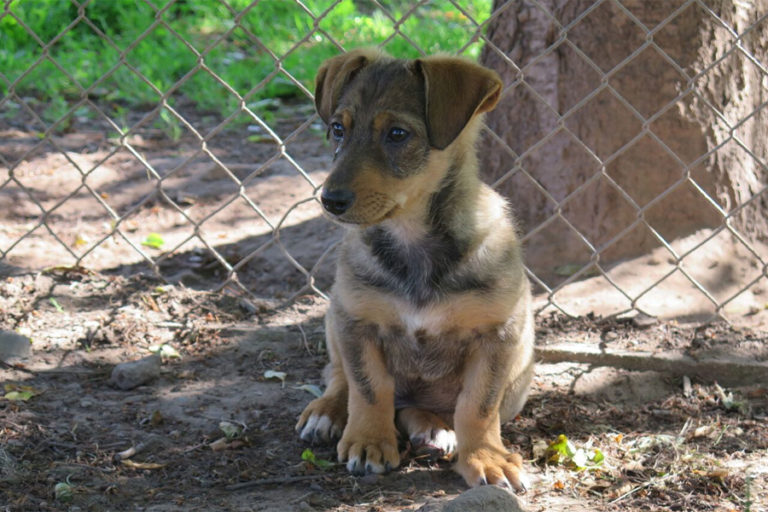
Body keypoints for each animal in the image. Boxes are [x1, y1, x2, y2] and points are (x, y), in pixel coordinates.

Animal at [296, 49, 536, 492]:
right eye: (338, 129)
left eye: (397, 134)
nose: (329, 200)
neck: (412, 241)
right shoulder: (356, 322)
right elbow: (369, 388)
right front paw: (369, 442)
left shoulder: (497, 334)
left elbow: (478, 404)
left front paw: (485, 457)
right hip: (334, 317)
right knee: (339, 375)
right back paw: (328, 411)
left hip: (518, 382)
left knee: (429, 408)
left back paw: (434, 428)